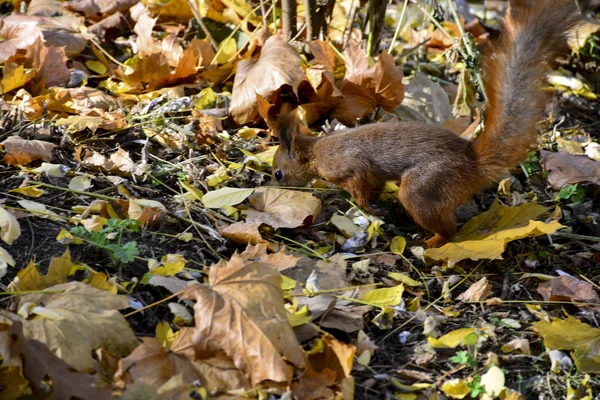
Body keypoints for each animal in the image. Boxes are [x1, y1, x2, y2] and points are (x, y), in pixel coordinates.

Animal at [270, 0, 592, 248]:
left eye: (277, 173)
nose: (273, 186)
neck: (316, 151)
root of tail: (473, 165)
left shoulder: (348, 166)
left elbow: (359, 187)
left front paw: (369, 208)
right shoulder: (373, 175)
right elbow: (374, 185)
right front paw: (378, 206)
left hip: (423, 187)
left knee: (448, 228)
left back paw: (430, 242)